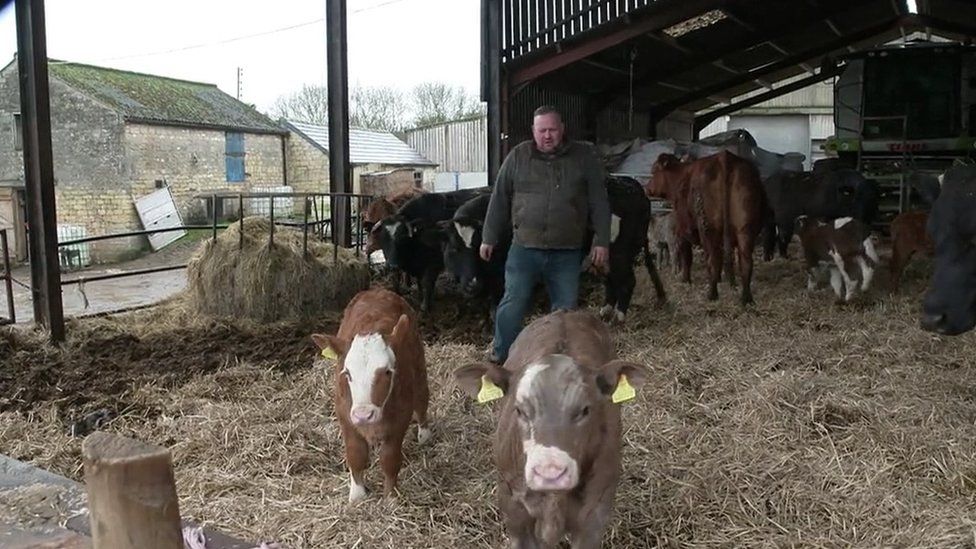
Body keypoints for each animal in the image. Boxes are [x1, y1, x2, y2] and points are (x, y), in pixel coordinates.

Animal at [312, 284, 430, 504]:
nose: (363, 415)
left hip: (419, 367)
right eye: (347, 373)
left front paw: (390, 497)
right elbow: (355, 455)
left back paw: (425, 434)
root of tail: (378, 290)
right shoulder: (345, 415)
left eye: (387, 372)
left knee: (422, 399)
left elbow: (390, 459)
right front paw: (357, 495)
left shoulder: (400, 419)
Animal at [452, 310, 648, 544]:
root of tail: (565, 312)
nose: (550, 473)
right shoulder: (513, 507)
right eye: (519, 410)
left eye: (585, 410)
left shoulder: (596, 513)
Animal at [648, 150, 772, 304]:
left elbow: (686, 257)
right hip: (745, 229)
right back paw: (746, 298)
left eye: (654, 171)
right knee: (745, 262)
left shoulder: (683, 231)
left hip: (708, 229)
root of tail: (725, 157)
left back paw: (712, 294)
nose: (647, 188)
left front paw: (685, 279)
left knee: (713, 259)